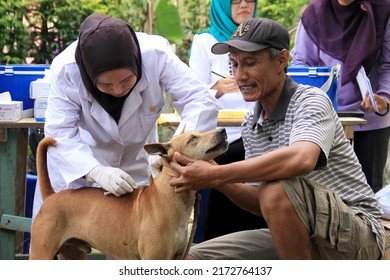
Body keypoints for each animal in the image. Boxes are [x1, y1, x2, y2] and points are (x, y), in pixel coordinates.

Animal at [29, 128, 229, 260]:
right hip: (41, 252)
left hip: (72, 253)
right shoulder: (155, 258)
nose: (222, 130)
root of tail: (52, 196)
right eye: (192, 138)